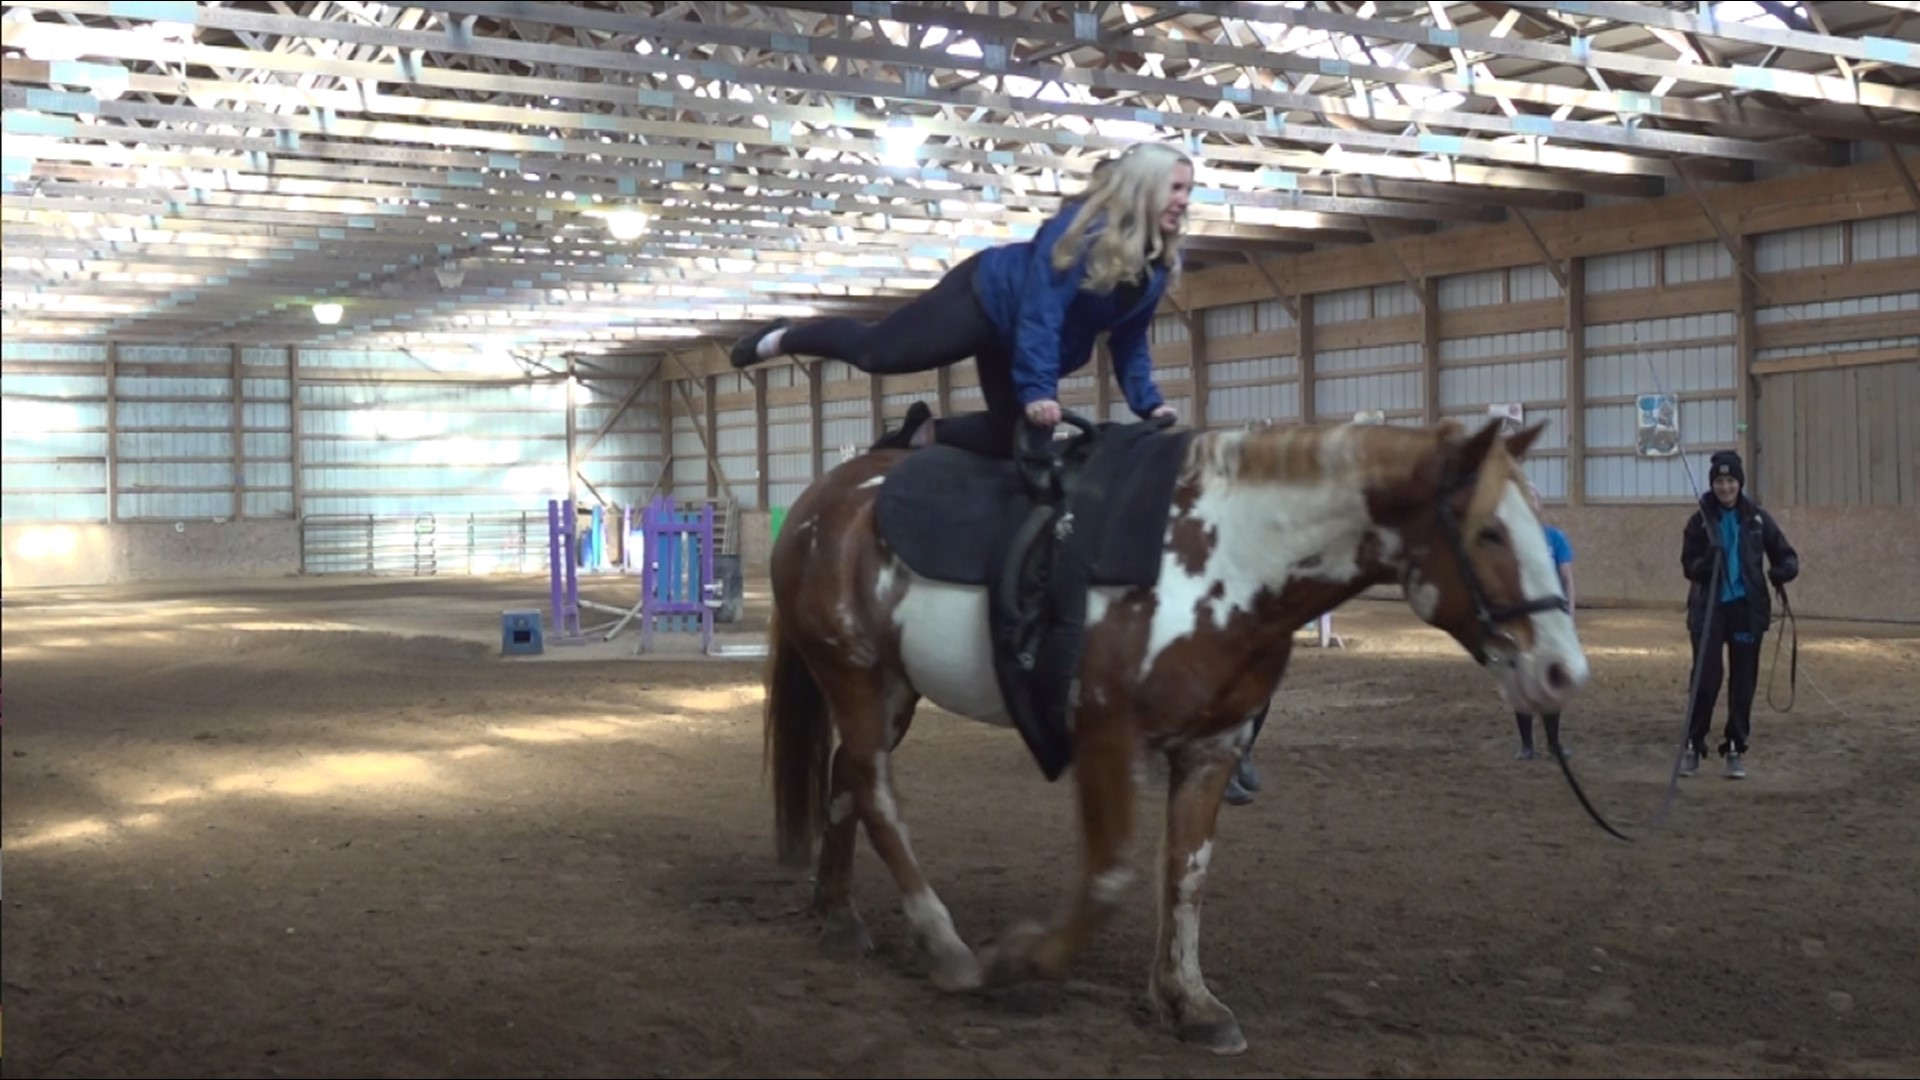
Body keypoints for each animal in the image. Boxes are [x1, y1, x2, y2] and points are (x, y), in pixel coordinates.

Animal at [760, 413, 1589, 1053]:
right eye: (1489, 533)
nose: (1562, 672)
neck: (1226, 557)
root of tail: (818, 504)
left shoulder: (1211, 748)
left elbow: (1186, 874)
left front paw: (1190, 1003)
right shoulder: (1106, 738)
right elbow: (1111, 876)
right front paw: (1023, 966)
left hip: (893, 690)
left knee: (847, 779)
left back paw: (838, 916)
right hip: (854, 675)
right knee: (876, 793)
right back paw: (942, 943)